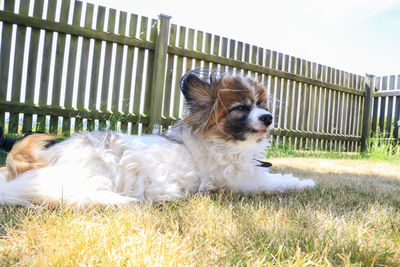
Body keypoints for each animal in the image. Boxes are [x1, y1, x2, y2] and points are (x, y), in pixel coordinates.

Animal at [0, 69, 316, 207]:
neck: (223, 142)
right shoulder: (242, 181)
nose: (268, 118)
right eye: (241, 108)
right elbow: (279, 182)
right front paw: (305, 183)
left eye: (263, 105)